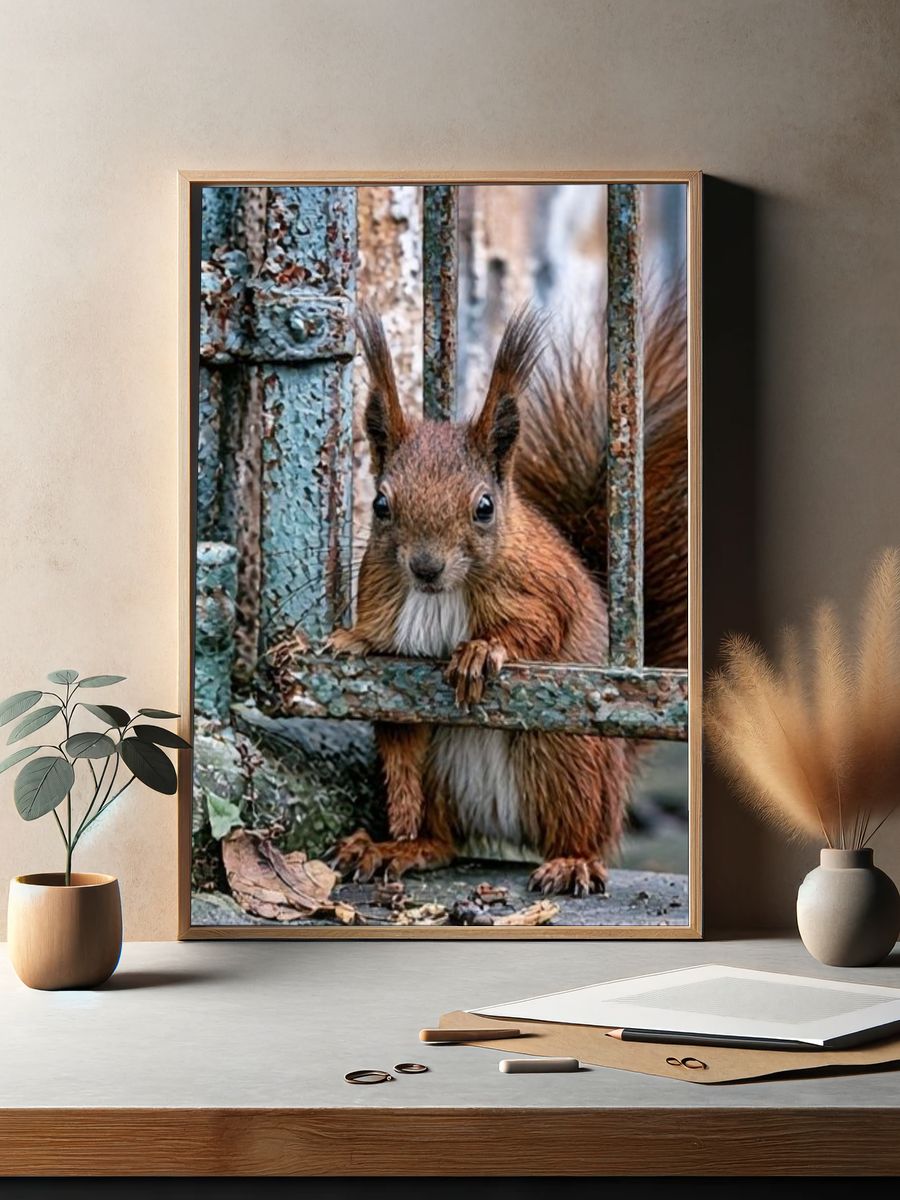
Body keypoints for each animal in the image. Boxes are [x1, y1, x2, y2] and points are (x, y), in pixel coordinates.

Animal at [327, 301, 687, 896]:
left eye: (484, 507)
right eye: (380, 504)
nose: (425, 568)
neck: (441, 595)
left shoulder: (545, 590)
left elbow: (540, 627)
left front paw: (480, 650)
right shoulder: (389, 651)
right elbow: (394, 727)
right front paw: (347, 640)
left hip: (568, 753)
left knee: (583, 830)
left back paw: (572, 862)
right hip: (443, 774)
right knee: (442, 836)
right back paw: (400, 846)